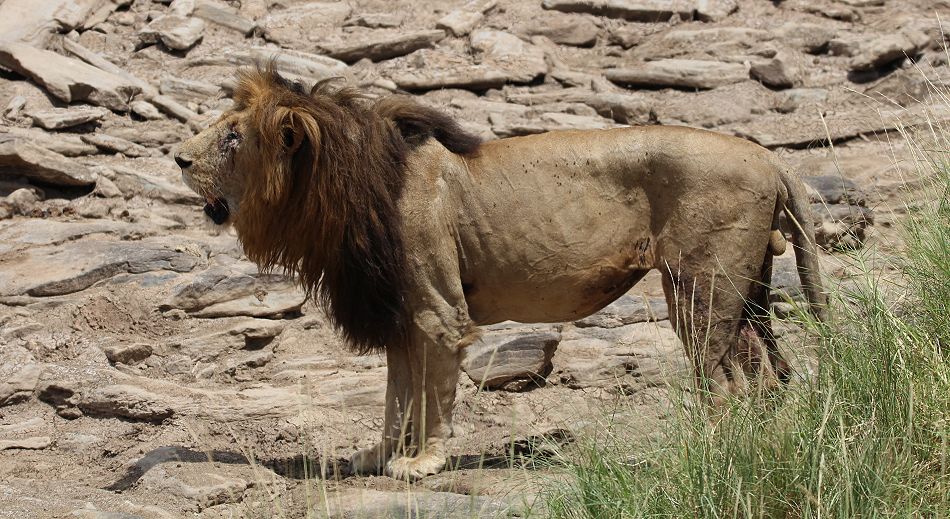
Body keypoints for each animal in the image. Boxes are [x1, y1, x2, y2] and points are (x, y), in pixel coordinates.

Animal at [177, 67, 824, 482]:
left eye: (233, 136)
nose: (178, 158)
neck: (341, 190)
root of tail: (770, 157)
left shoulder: (438, 312)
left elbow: (433, 395)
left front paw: (423, 463)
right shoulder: (401, 313)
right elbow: (396, 395)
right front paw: (377, 456)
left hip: (700, 287)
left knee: (724, 382)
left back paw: (709, 448)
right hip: (746, 289)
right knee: (764, 374)